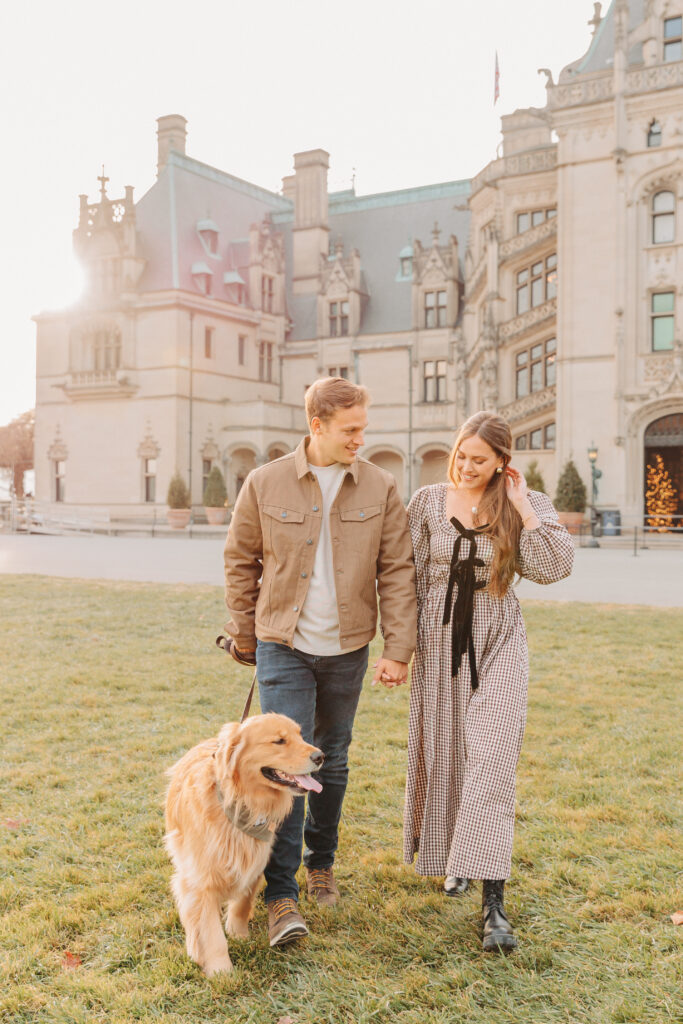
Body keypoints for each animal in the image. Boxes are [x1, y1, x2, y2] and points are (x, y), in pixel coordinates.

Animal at [165, 712, 325, 974]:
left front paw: (238, 934)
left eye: (300, 736)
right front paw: (221, 971)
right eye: (279, 741)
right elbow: (210, 932)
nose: (321, 756)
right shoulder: (200, 880)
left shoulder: (256, 860)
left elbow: (242, 903)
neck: (243, 803)